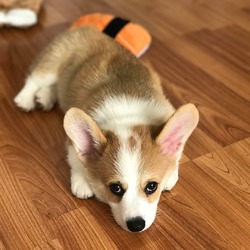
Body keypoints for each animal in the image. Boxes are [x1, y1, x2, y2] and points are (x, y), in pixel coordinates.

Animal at [14, 26, 199, 232]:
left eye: (152, 186)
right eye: (115, 188)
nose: (136, 225)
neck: (128, 116)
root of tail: (86, 28)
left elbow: (175, 162)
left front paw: (171, 173)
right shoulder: (72, 140)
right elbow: (76, 159)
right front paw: (82, 182)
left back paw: (44, 97)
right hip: (51, 64)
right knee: (34, 79)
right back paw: (25, 100)